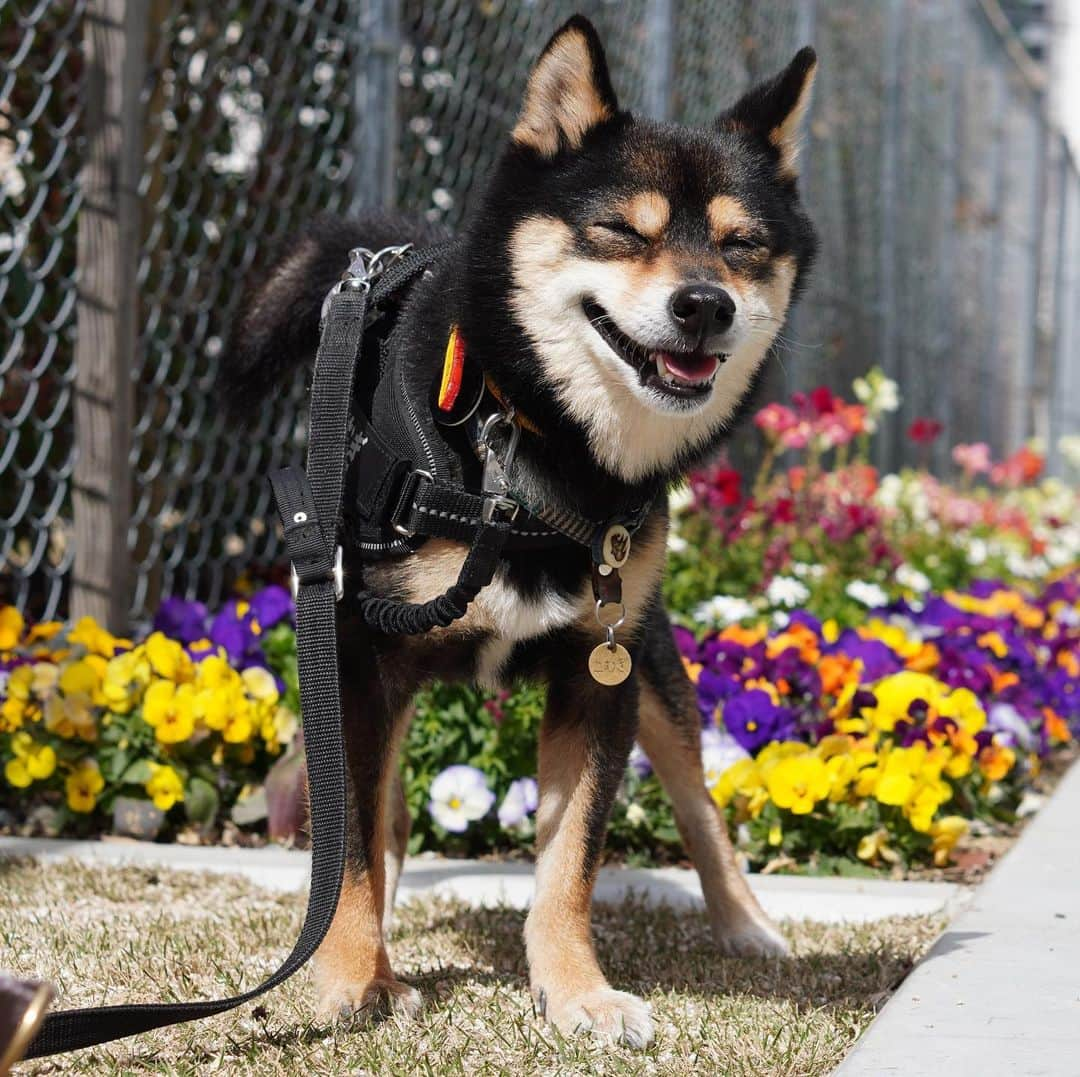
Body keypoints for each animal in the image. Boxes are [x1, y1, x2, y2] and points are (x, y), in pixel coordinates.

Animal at [230, 12, 816, 1045]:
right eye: (622, 230)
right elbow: (353, 842)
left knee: (698, 800)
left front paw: (577, 990)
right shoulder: (354, 652)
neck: (526, 446)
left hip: (654, 657)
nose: (705, 304)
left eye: (743, 246)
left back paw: (748, 924)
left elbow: (568, 863)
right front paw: (350, 980)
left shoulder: (600, 668)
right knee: (384, 817)